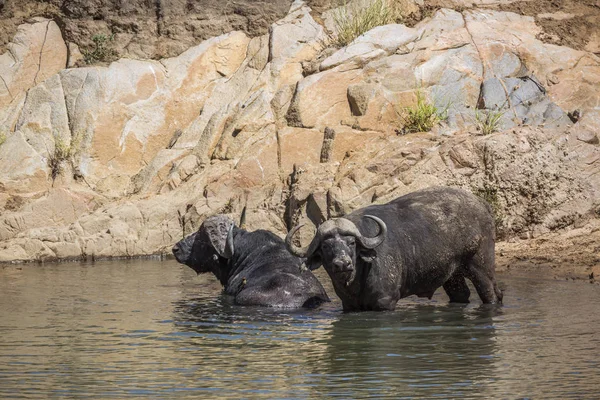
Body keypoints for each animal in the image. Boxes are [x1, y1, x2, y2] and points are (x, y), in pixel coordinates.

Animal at [286, 188, 502, 312]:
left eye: (351, 242)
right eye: (325, 246)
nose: (342, 263)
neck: (356, 280)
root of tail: (483, 204)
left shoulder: (385, 302)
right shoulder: (349, 306)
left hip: (480, 265)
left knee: (492, 293)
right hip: (452, 274)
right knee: (461, 295)